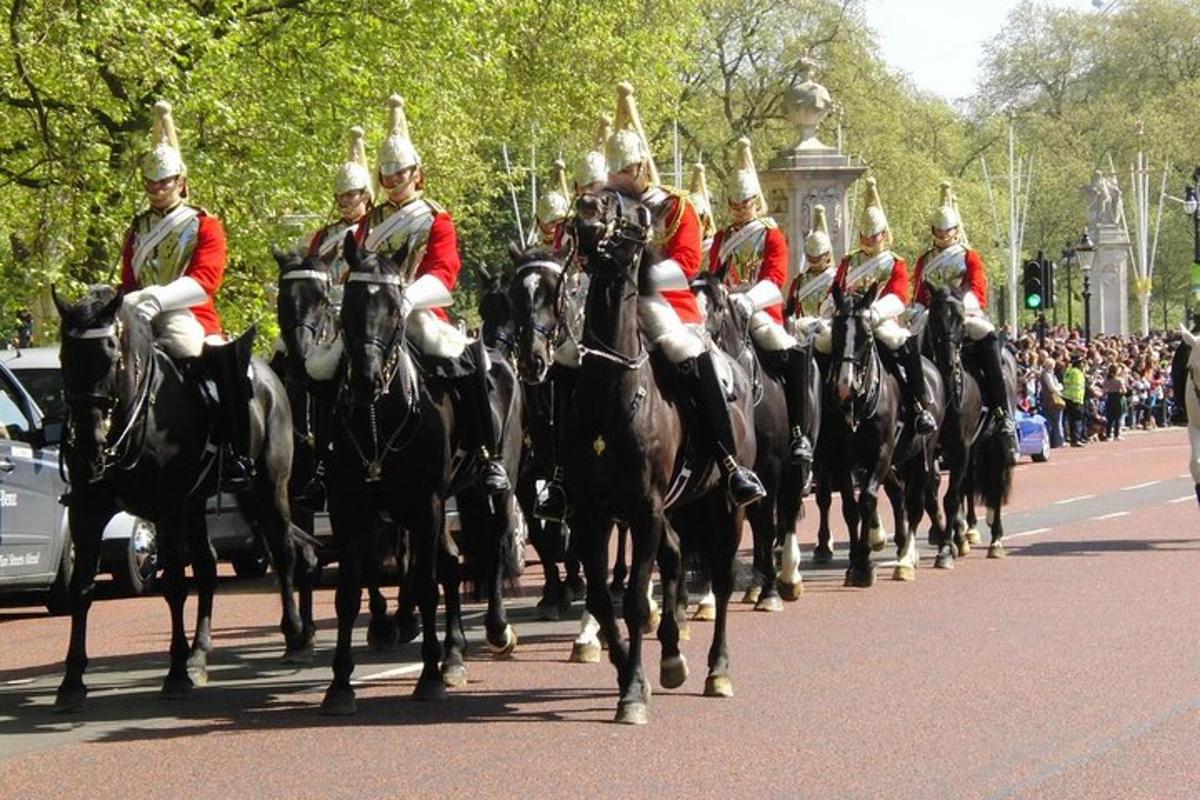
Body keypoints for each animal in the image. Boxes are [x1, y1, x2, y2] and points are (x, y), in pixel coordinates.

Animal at [52, 287, 314, 714]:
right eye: (64, 355)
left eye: (109, 351)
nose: (89, 443)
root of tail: (270, 372)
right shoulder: (87, 512)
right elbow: (81, 590)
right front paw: (72, 681)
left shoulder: (168, 509)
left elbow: (174, 585)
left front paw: (173, 675)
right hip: (200, 505)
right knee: (209, 566)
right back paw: (199, 655)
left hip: (267, 489)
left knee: (285, 552)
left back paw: (294, 637)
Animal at [321, 236, 523, 714]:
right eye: (348, 305)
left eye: (396, 308)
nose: (364, 379)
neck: (378, 418)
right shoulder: (348, 508)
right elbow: (348, 593)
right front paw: (340, 684)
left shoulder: (426, 506)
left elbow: (428, 586)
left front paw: (428, 676)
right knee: (452, 562)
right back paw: (454, 657)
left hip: (491, 489)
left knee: (495, 546)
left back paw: (495, 630)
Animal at [561, 189, 748, 724]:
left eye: (630, 210)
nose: (586, 207)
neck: (612, 395)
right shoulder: (591, 512)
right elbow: (603, 599)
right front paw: (633, 675)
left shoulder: (643, 510)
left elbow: (633, 604)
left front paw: (631, 695)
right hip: (676, 507)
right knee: (676, 555)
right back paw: (671, 657)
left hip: (723, 505)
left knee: (722, 578)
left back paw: (717, 671)